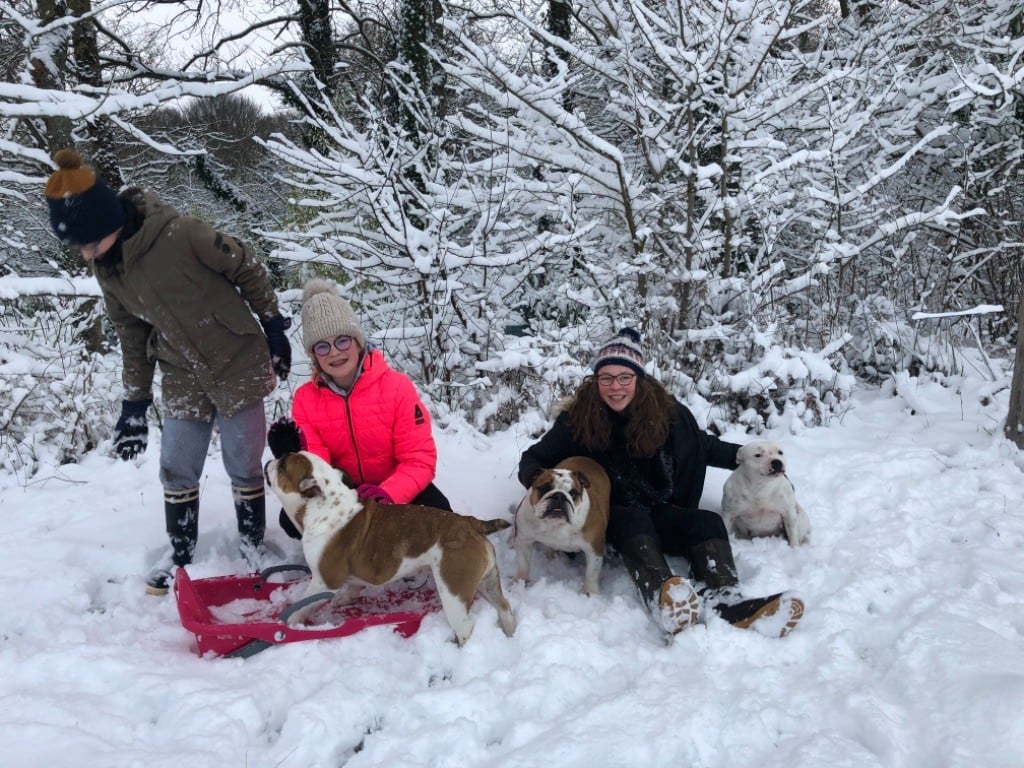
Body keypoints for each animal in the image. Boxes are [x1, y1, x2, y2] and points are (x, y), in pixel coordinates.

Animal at [266, 454, 520, 647]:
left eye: (283, 464)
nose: (271, 460)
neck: (322, 505)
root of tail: (470, 522)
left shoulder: (323, 581)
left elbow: (303, 602)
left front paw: (288, 622)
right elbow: (354, 585)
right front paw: (346, 598)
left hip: (453, 591)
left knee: (465, 628)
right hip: (486, 582)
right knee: (505, 608)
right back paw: (510, 634)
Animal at [509, 456, 606, 593]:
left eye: (573, 493)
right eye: (544, 489)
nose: (559, 496)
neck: (554, 524)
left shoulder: (594, 549)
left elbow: (592, 572)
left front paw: (589, 592)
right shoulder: (524, 541)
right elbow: (523, 565)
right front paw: (519, 583)